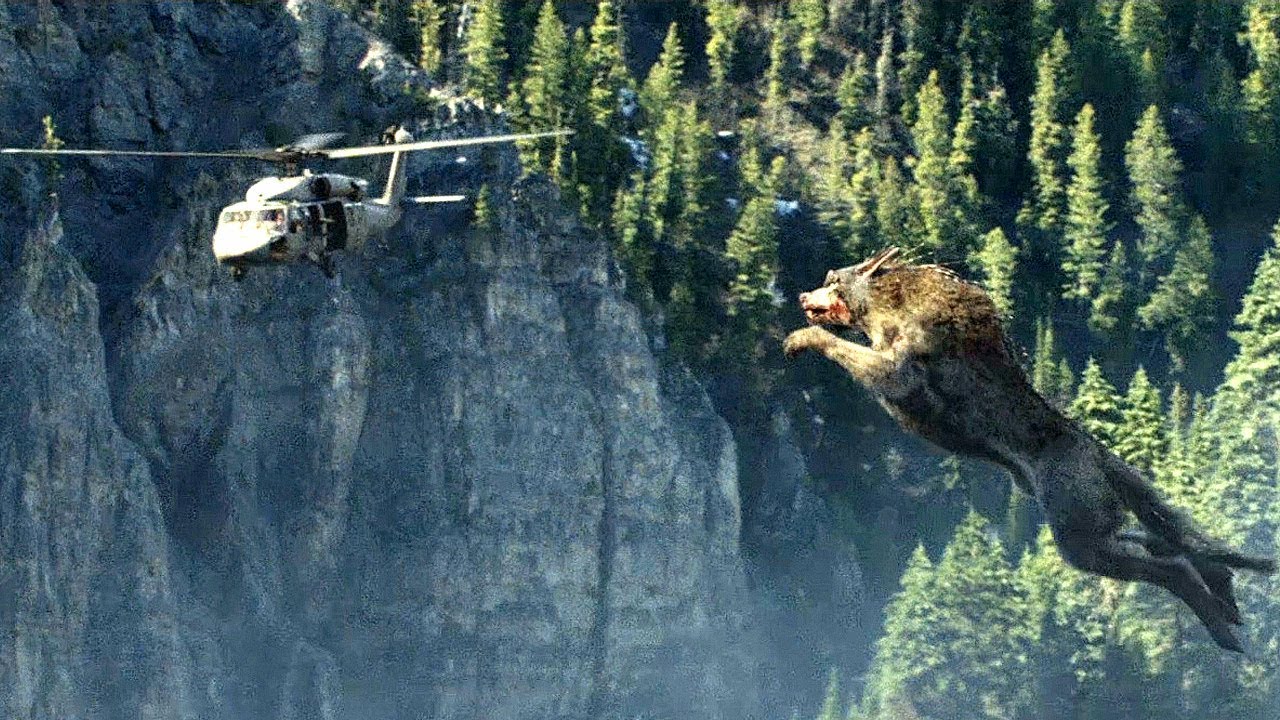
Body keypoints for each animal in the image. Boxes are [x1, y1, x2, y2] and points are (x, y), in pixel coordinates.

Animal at [783, 246, 1275, 651]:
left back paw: (1221, 625)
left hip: (1079, 537)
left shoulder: (897, 376)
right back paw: (1224, 593)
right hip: (1088, 523)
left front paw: (797, 339)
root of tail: (1096, 451)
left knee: (1169, 564)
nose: (803, 294)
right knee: (1165, 542)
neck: (890, 306)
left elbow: (835, 343)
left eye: (832, 278)